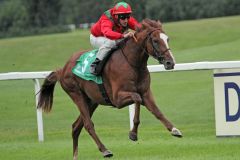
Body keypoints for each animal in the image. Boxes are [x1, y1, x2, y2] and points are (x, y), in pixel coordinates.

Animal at [38, 18, 182, 159]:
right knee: (88, 124)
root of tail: (62, 69)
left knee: (76, 126)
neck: (132, 63)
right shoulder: (117, 99)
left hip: (91, 101)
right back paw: (105, 150)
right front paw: (133, 134)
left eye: (167, 39)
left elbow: (157, 111)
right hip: (76, 94)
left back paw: (76, 155)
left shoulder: (146, 93)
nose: (170, 63)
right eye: (156, 41)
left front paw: (174, 130)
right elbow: (137, 98)